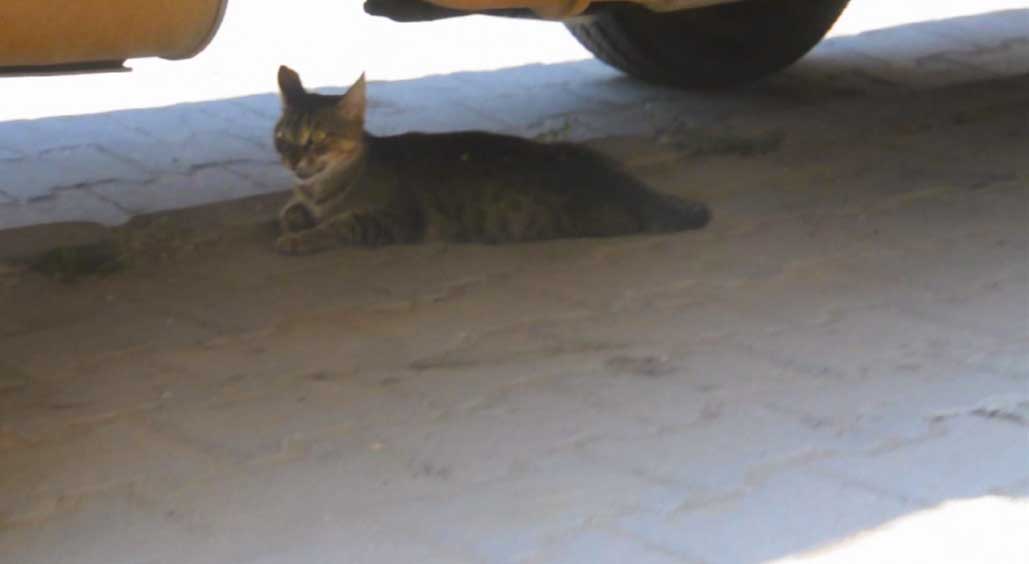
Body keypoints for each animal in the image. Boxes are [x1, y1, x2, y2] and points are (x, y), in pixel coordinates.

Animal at [272, 65, 710, 255]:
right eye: (283, 139)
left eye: (318, 140)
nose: (294, 162)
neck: (321, 189)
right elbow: (291, 211)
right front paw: (295, 218)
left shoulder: (395, 220)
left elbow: (340, 225)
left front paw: (299, 238)